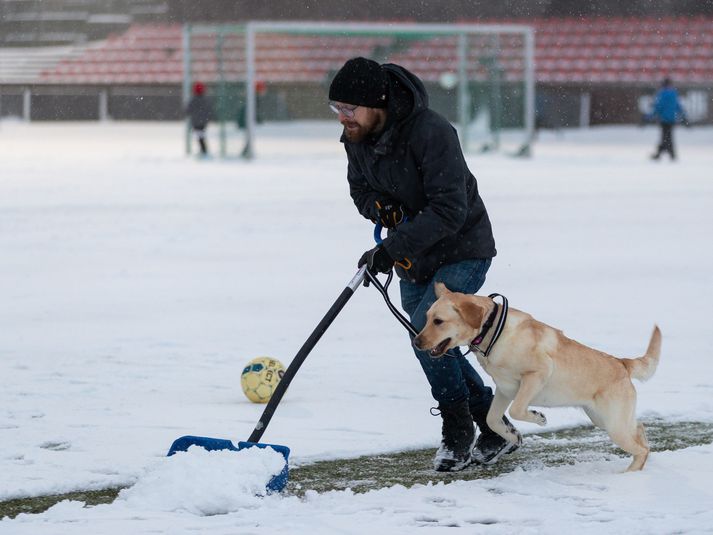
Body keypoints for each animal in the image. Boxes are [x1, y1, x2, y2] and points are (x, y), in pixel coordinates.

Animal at [412, 282, 660, 472]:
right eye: (427, 317)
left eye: (438, 321)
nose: (416, 341)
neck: (493, 333)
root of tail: (622, 363)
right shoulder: (504, 389)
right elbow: (492, 419)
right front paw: (512, 437)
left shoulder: (537, 373)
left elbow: (517, 410)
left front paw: (539, 418)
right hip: (604, 419)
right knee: (640, 429)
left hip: (614, 425)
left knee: (641, 448)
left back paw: (629, 475)